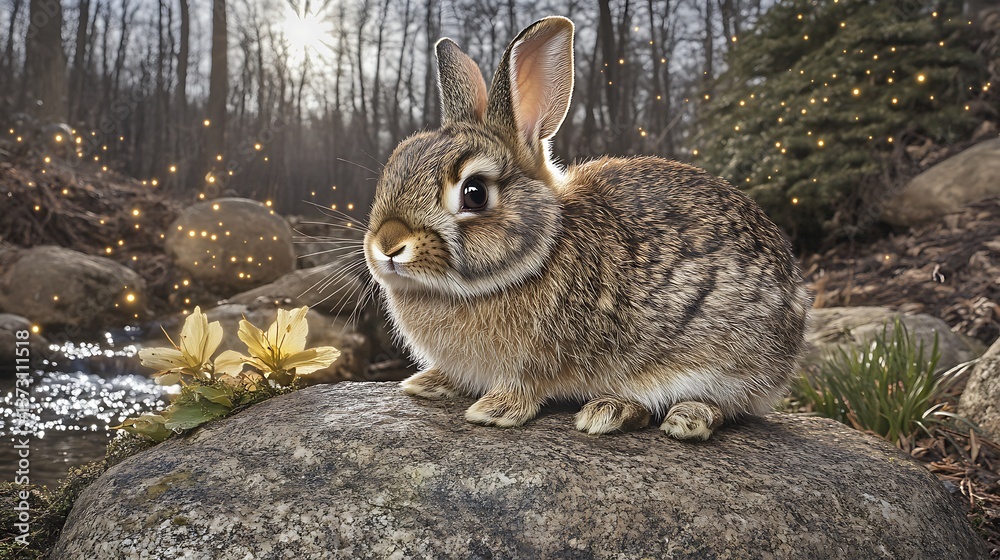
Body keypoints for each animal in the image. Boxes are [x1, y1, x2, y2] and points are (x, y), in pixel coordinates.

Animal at [363, 16, 809, 440]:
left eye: (474, 193)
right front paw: (427, 384)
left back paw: (651, 415)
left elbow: (525, 385)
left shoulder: (540, 359)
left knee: (725, 406)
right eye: (397, 160)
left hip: (726, 359)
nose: (388, 244)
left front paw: (494, 410)